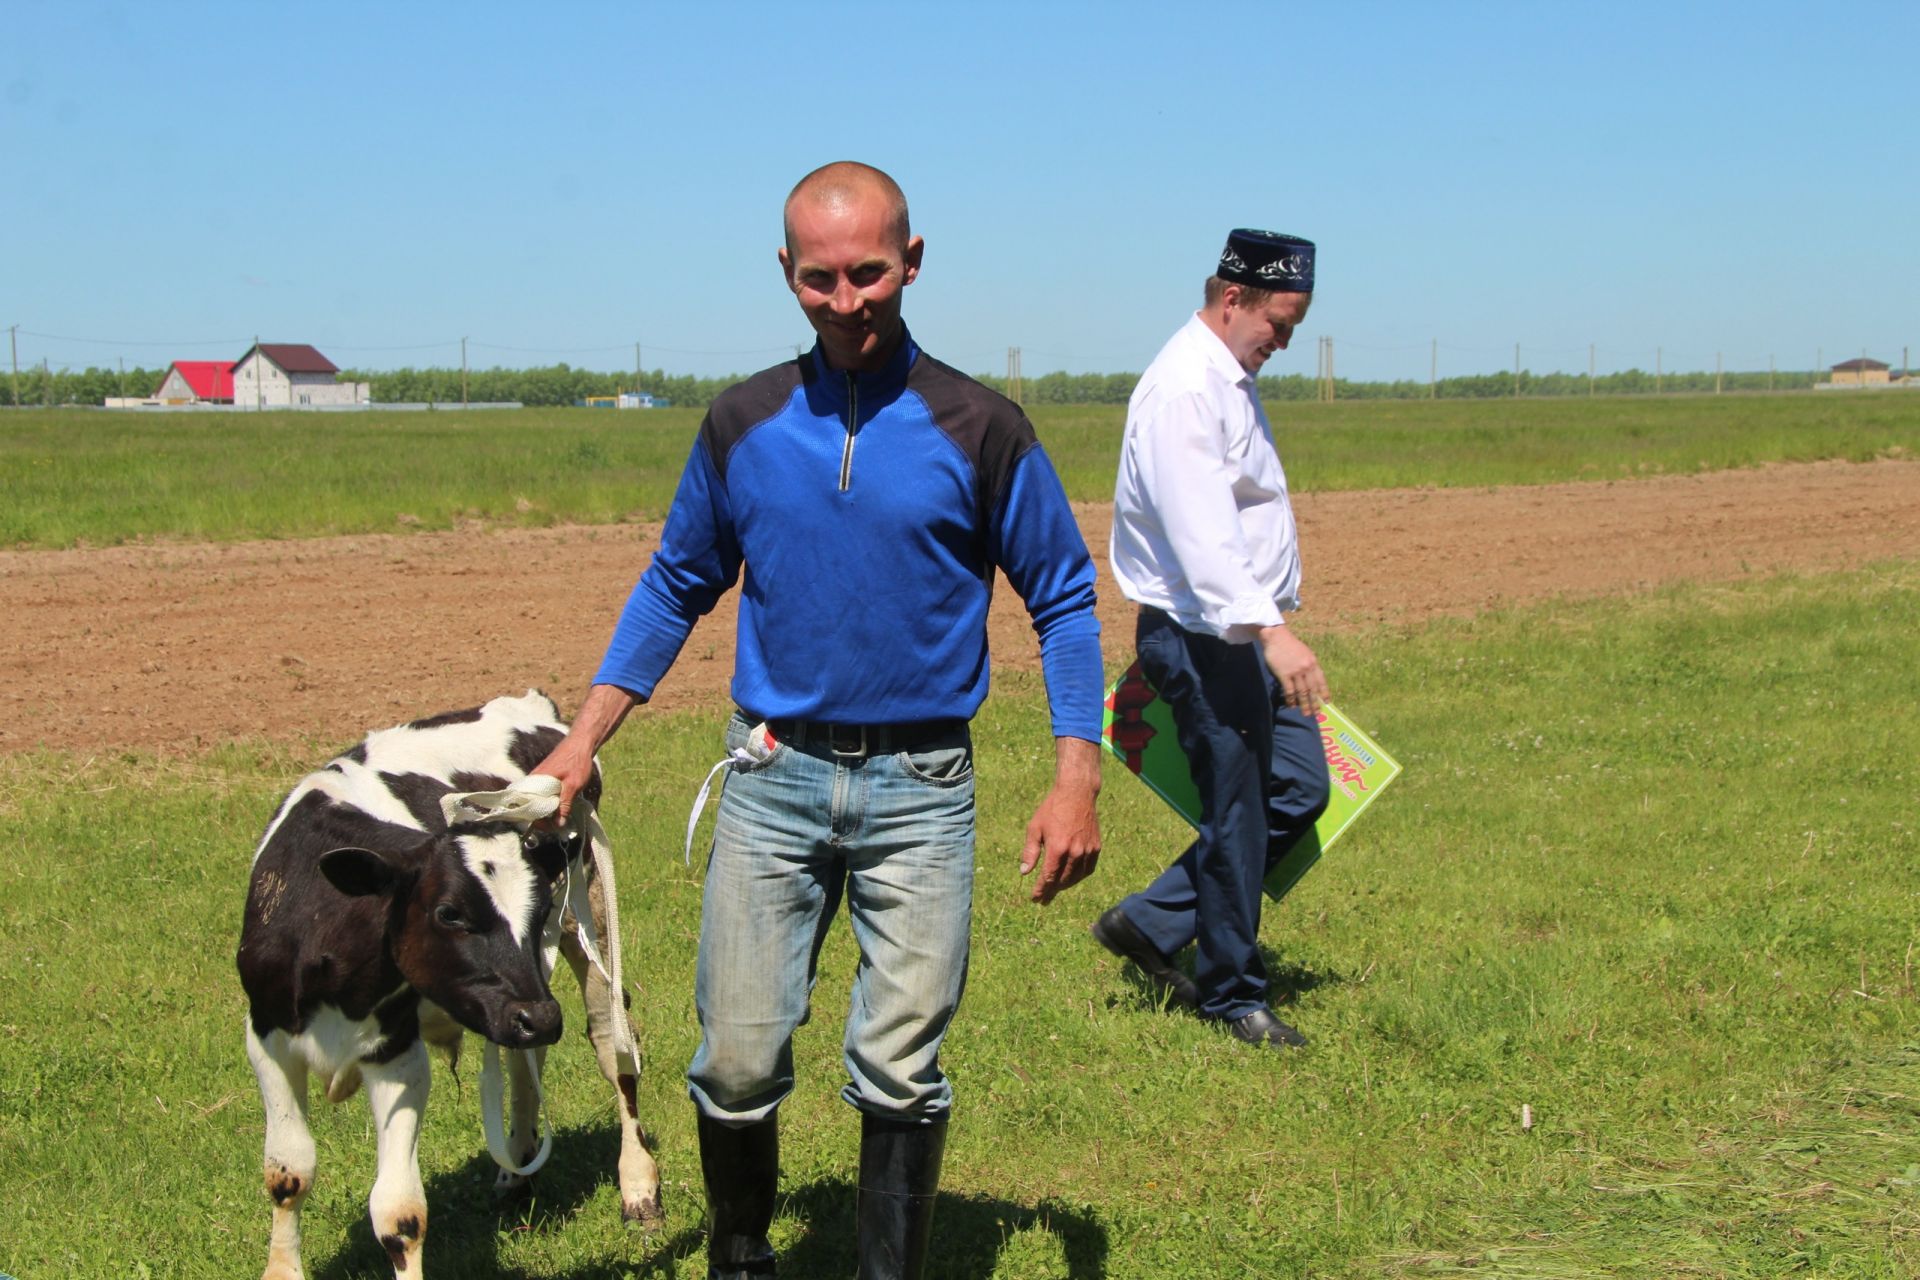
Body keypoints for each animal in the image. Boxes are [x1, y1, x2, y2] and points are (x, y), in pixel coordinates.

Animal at [234, 690, 660, 1280]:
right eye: (449, 914)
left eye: (538, 911)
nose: (544, 1017)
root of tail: (528, 705)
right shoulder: (267, 1036)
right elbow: (287, 1173)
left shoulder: (396, 1052)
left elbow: (399, 1212)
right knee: (523, 1059)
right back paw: (517, 1168)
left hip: (585, 924)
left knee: (612, 1046)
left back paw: (638, 1186)